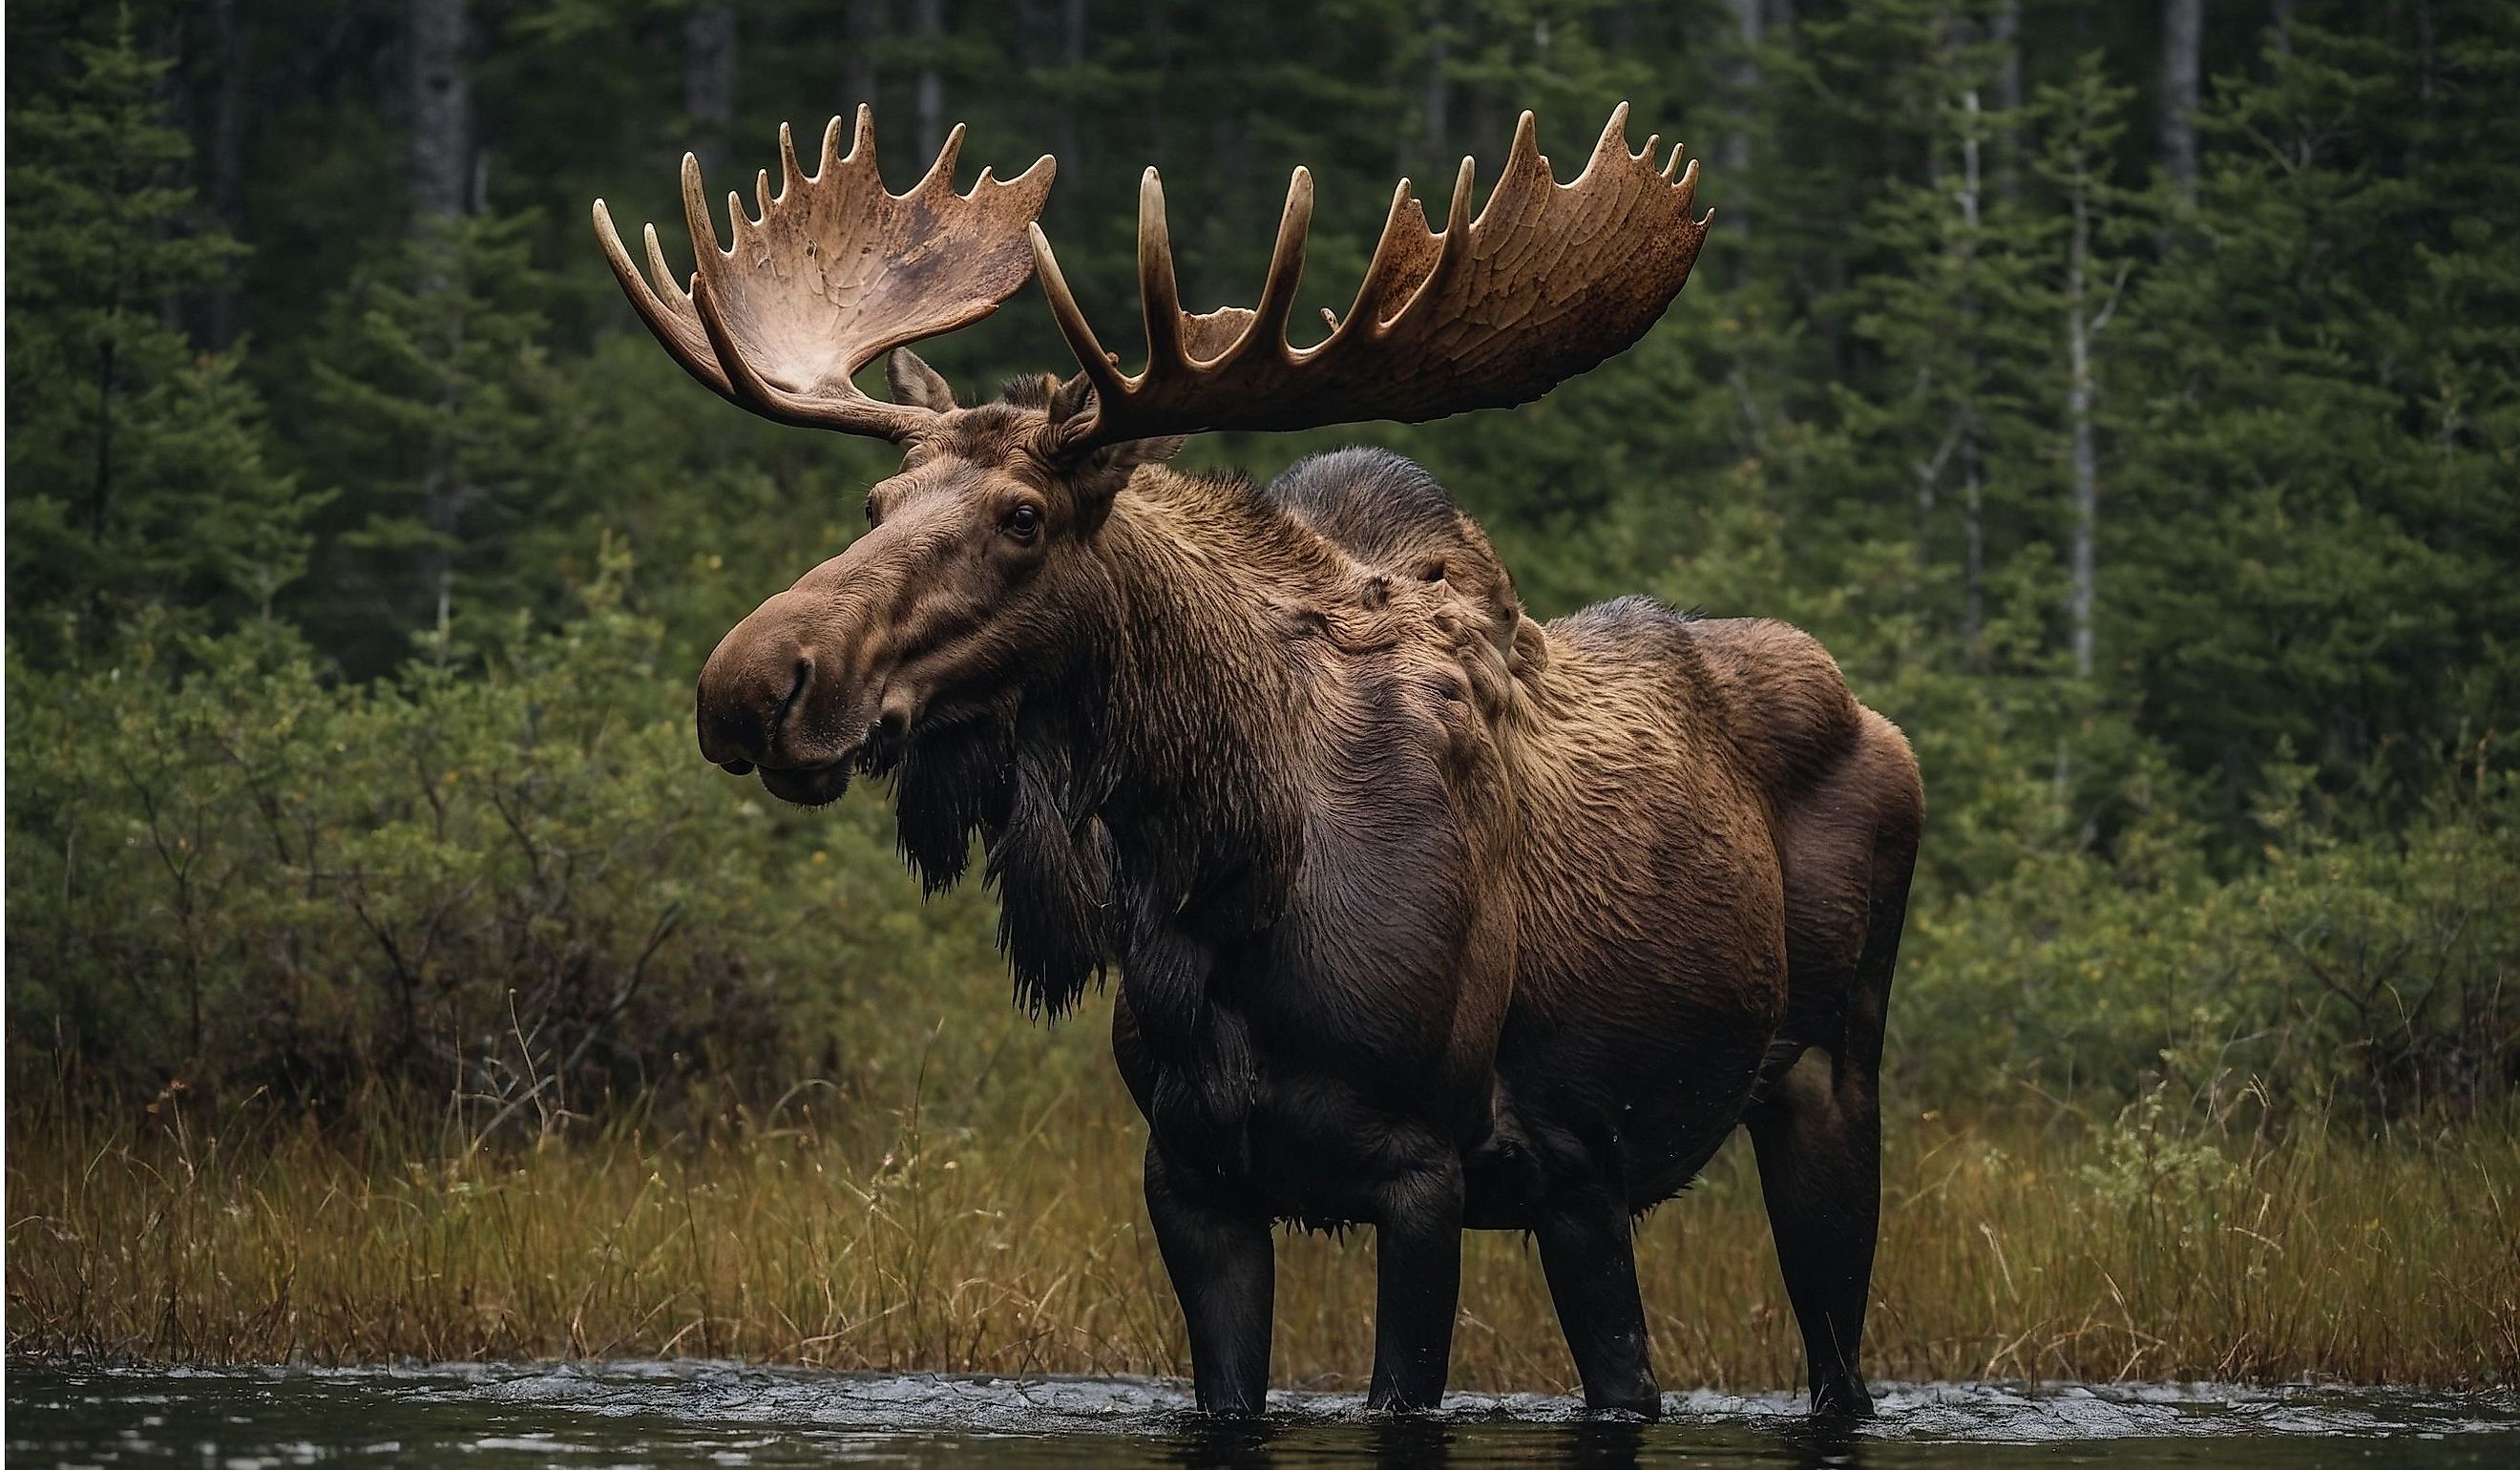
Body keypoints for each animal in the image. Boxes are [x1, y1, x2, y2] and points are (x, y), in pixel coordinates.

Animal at [595, 100, 1924, 1412]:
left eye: (1023, 517)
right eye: (875, 504)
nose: (751, 682)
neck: (1225, 878)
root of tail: (1880, 723)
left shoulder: (1421, 1169)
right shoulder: (1193, 1174)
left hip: (1829, 1081)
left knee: (1836, 1356)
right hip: (1580, 1189)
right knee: (1626, 1370)